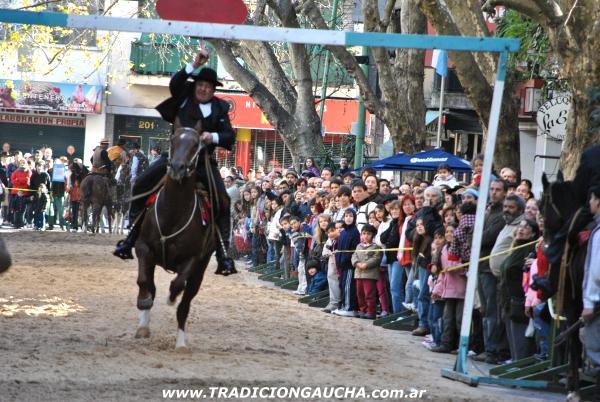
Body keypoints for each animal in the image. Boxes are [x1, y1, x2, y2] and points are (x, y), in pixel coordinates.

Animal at [134, 124, 216, 350]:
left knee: (185, 304)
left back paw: (180, 343)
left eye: (196, 144)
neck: (173, 211)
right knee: (151, 286)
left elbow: (178, 285)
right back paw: (143, 324)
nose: (178, 168)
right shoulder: (143, 247)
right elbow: (144, 282)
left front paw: (171, 298)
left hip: (199, 272)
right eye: (173, 140)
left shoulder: (192, 260)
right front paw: (143, 304)